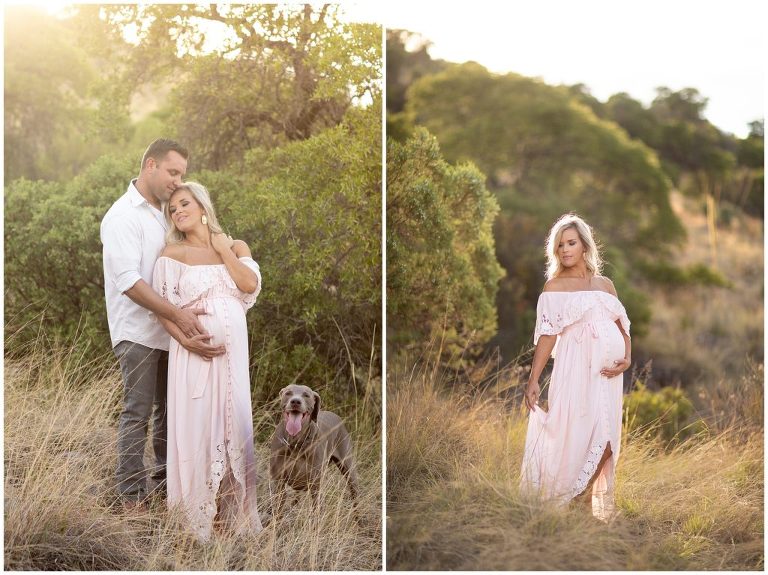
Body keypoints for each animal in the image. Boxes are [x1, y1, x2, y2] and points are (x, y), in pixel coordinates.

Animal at [270, 384, 360, 516]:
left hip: (349, 469)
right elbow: (277, 511)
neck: (296, 443)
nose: (295, 401)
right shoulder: (278, 482)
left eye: (306, 395)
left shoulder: (315, 486)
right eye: (288, 393)